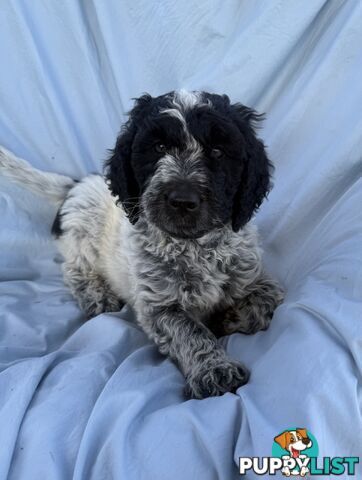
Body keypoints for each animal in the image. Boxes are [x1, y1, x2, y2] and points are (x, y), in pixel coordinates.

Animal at [0, 89, 282, 398]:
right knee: (74, 269)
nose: (182, 200)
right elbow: (189, 331)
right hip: (82, 233)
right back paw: (97, 295)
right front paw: (215, 369)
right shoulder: (159, 306)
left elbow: (267, 299)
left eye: (218, 152)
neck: (194, 246)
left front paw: (230, 318)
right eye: (158, 147)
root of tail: (76, 184)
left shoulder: (251, 274)